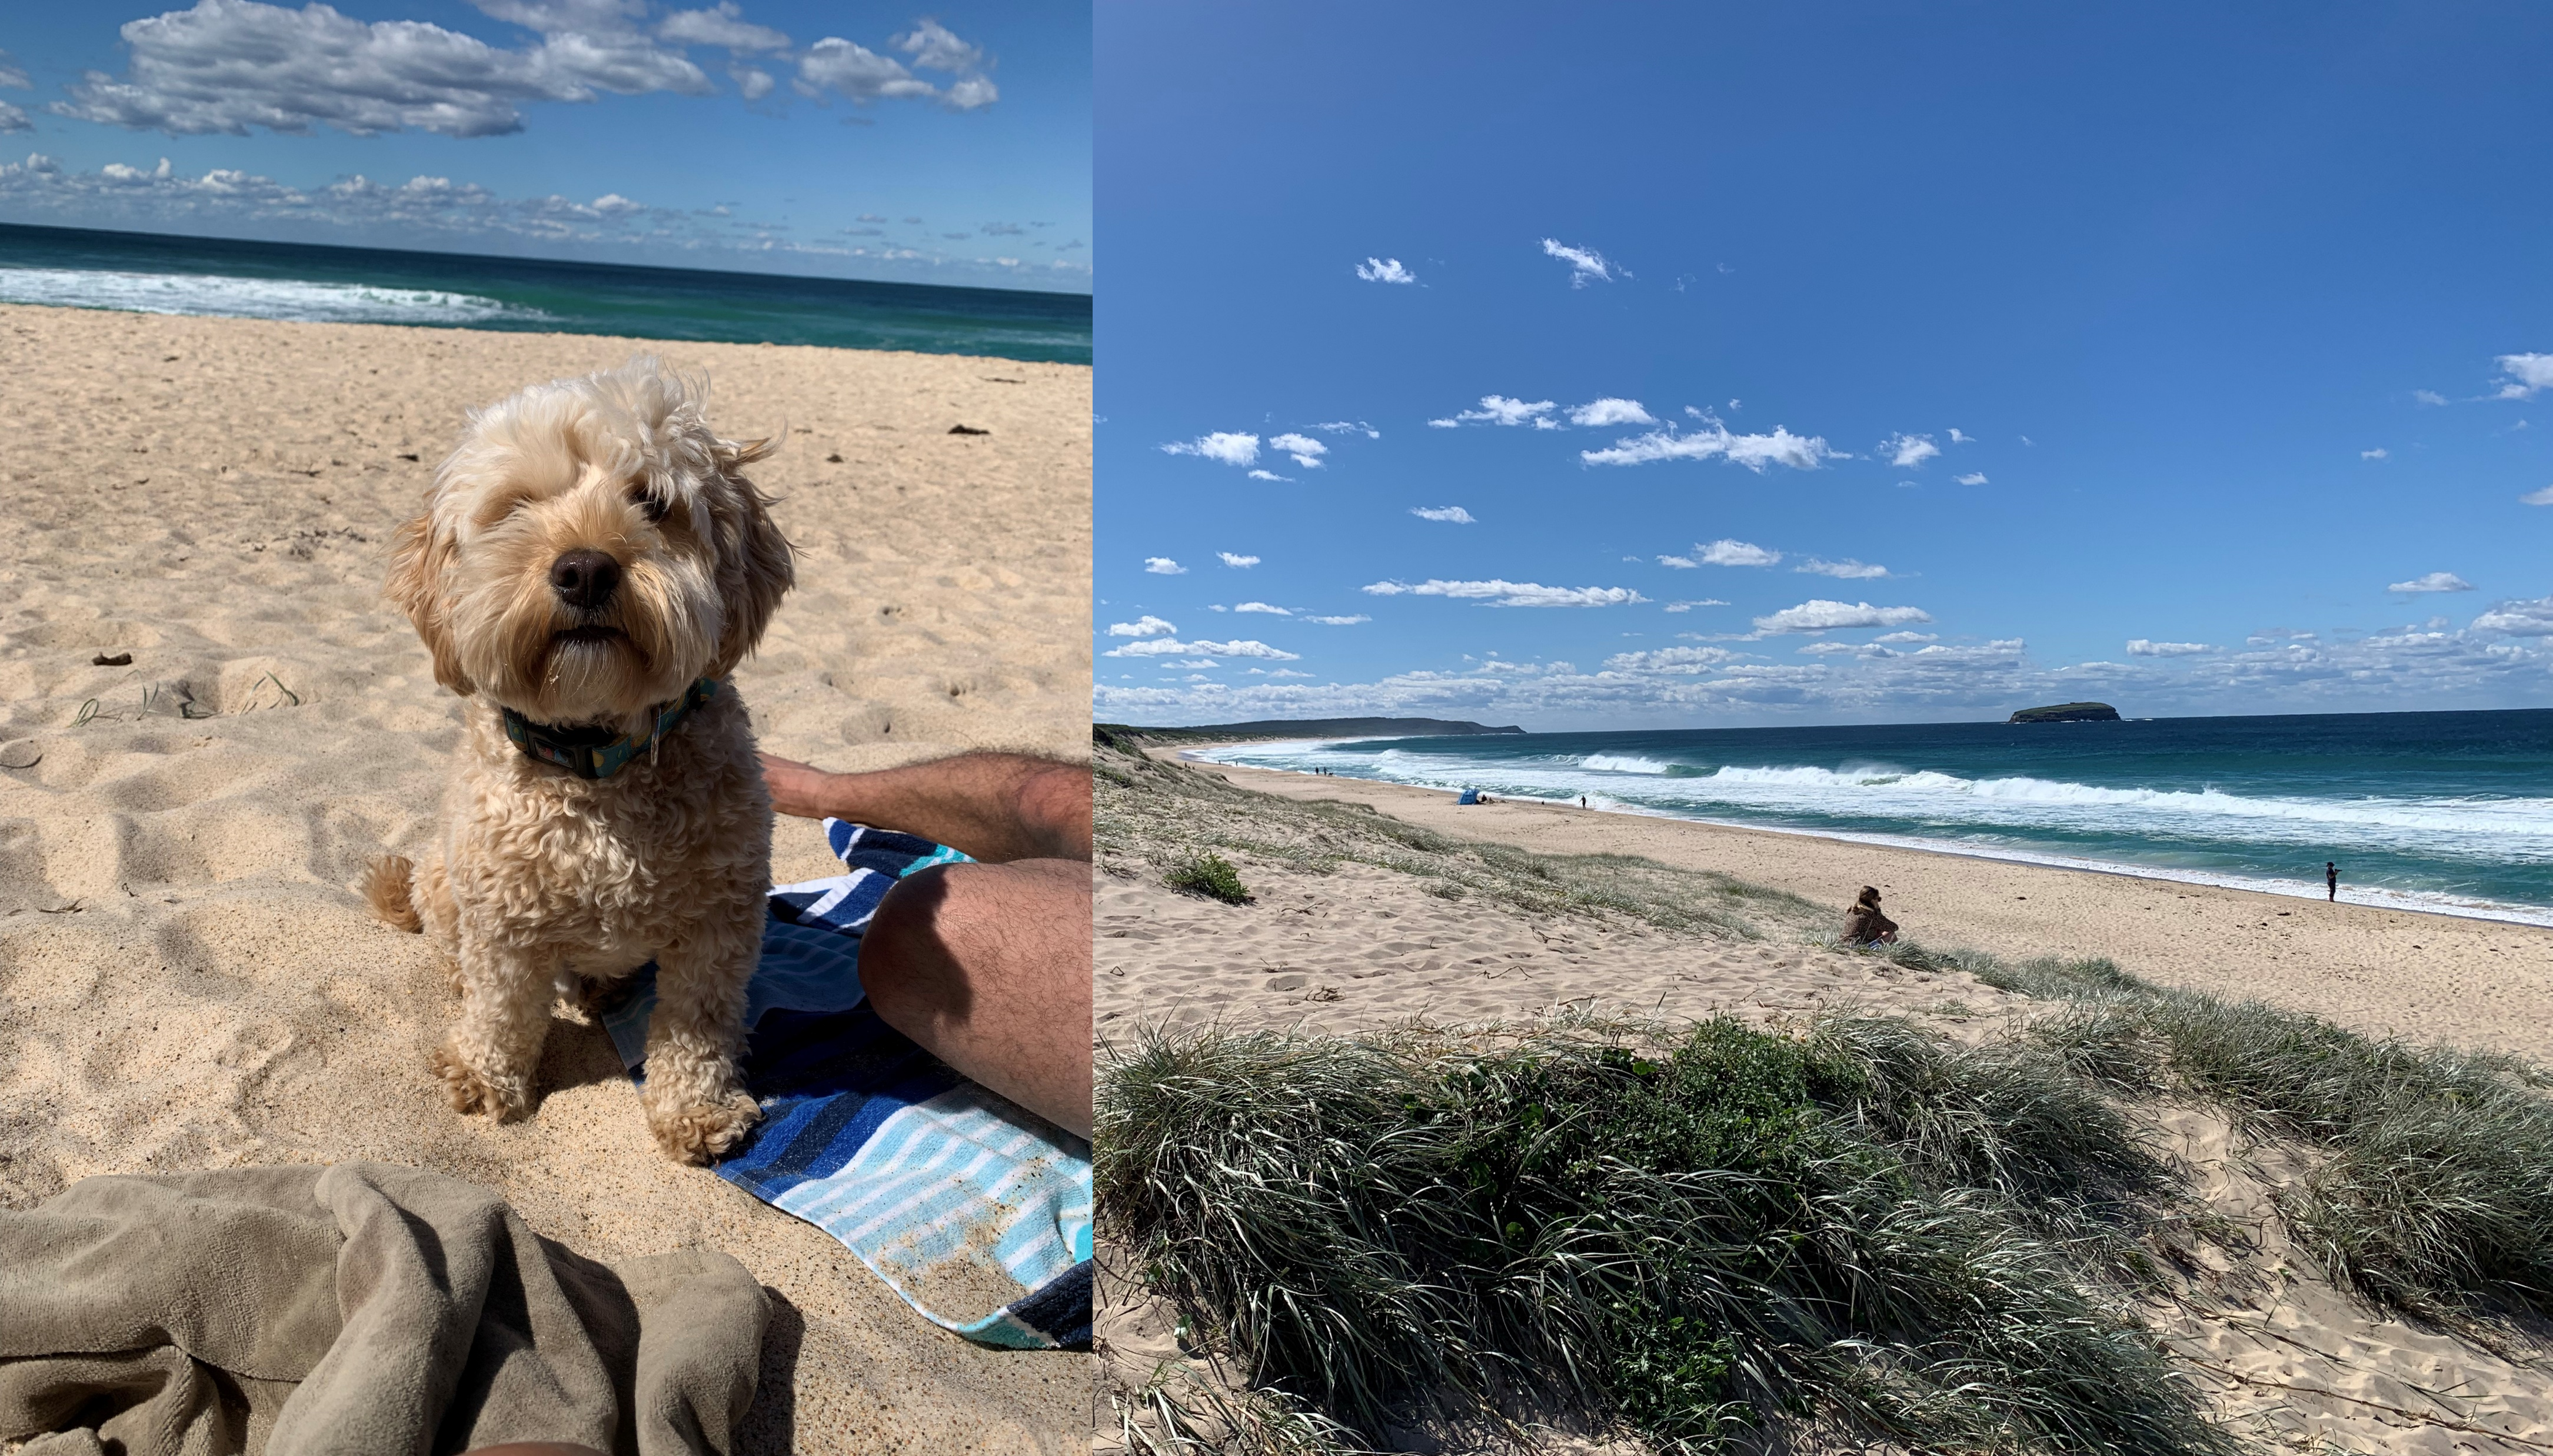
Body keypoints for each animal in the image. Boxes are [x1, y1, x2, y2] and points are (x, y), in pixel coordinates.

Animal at [362, 357, 786, 1160]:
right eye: (517, 506)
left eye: (653, 501)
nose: (586, 570)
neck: (597, 763)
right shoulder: (501, 922)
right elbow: (502, 1009)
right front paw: (486, 1076)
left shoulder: (719, 925)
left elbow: (698, 1022)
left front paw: (697, 1108)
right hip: (441, 878)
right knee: (452, 948)